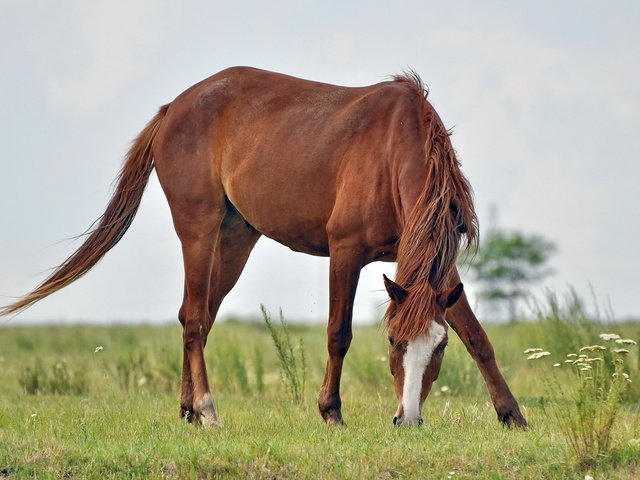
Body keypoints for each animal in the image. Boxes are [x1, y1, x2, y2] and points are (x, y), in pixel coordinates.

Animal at [2, 66, 528, 428]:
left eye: (438, 348)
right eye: (393, 342)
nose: (409, 419)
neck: (392, 149)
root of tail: (173, 108)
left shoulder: (434, 268)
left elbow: (477, 337)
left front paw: (512, 414)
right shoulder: (345, 253)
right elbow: (338, 334)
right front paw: (331, 411)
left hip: (237, 238)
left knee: (199, 315)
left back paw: (187, 410)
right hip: (199, 228)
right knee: (194, 318)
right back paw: (208, 410)